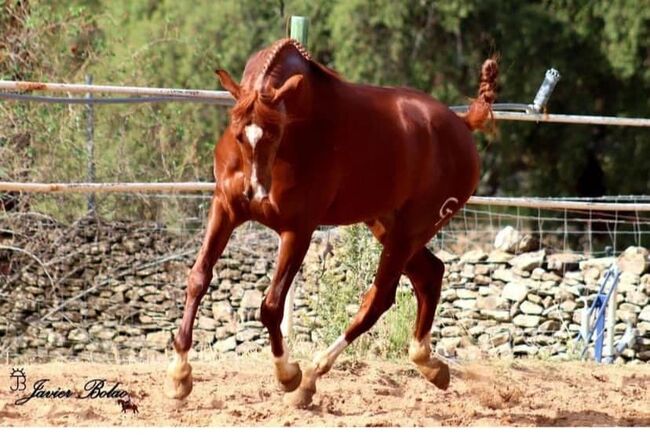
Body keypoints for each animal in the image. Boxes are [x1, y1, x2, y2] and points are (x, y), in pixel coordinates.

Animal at [163, 38, 496, 406]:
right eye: (237, 134)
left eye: (275, 132)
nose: (255, 193)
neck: (300, 131)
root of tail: (461, 125)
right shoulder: (225, 208)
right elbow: (198, 278)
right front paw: (179, 376)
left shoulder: (297, 230)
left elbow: (271, 306)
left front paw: (287, 374)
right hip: (387, 225)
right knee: (430, 275)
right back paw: (429, 364)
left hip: (409, 232)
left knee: (379, 299)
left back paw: (310, 378)